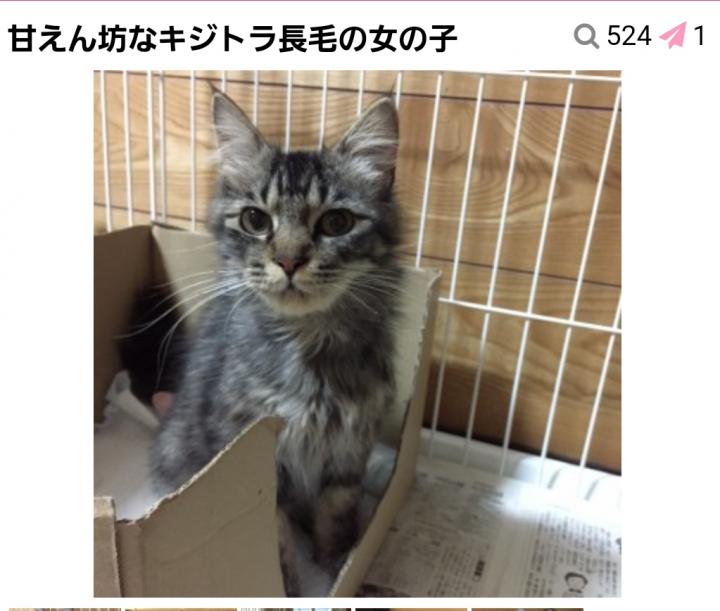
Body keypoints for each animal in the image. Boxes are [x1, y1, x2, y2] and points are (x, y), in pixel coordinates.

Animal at [149, 89, 403, 593]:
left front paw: (334, 567)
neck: (308, 350)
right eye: (255, 220)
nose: (288, 260)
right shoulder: (255, 454)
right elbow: (275, 537)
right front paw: (287, 586)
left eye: (337, 222)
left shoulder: (350, 451)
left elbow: (335, 515)